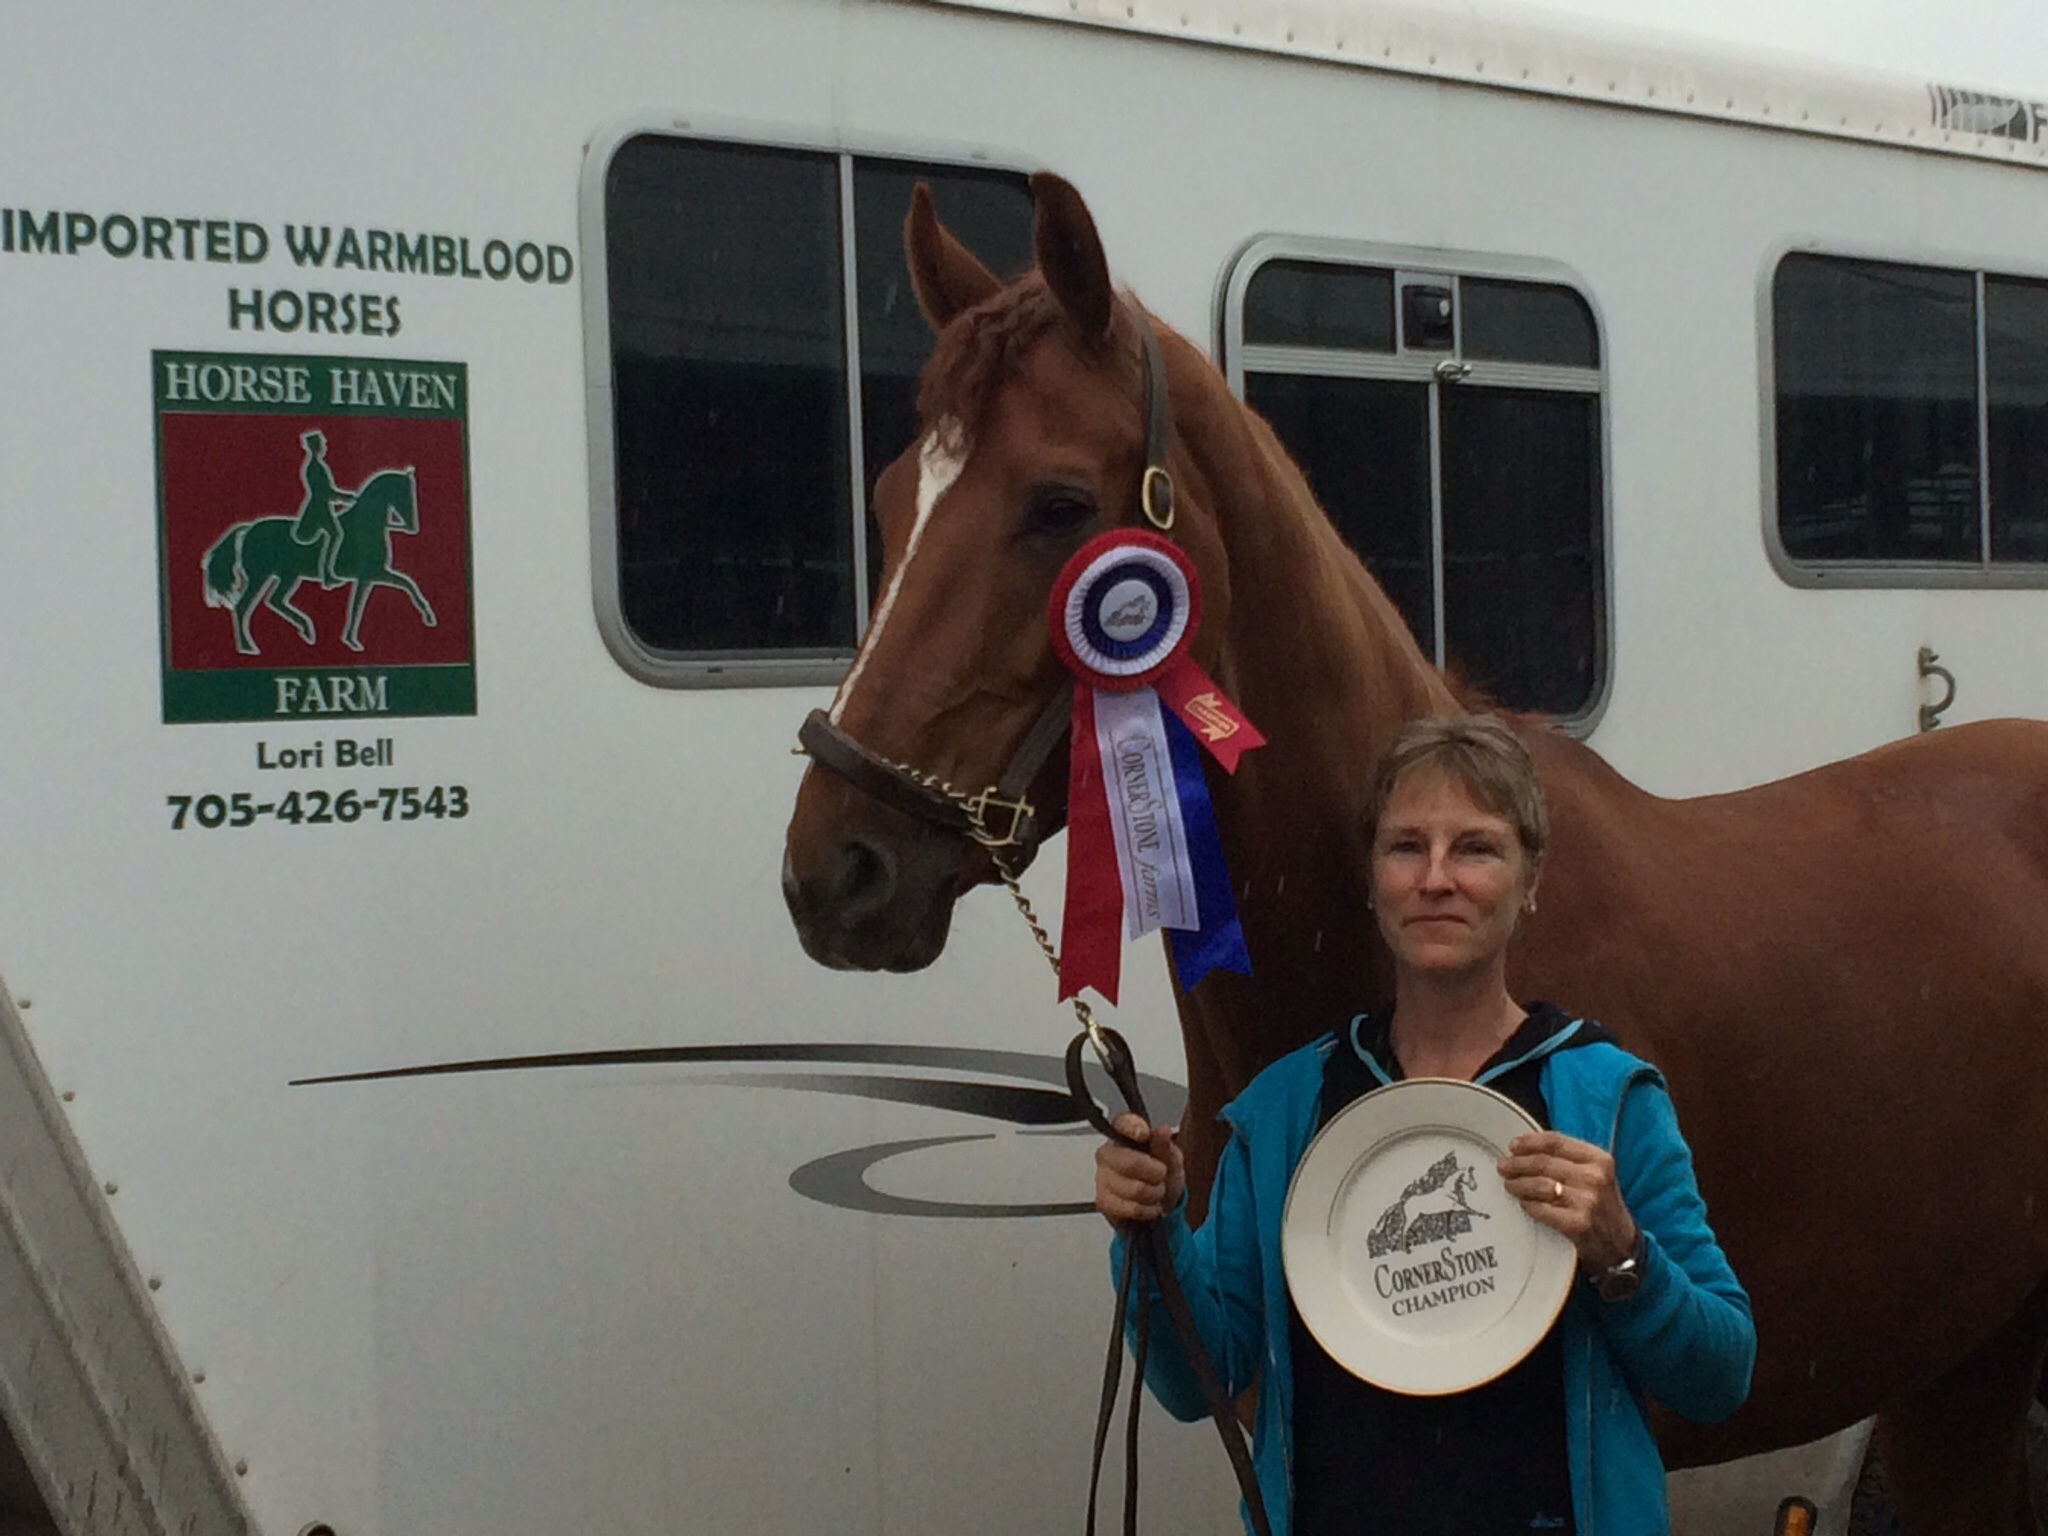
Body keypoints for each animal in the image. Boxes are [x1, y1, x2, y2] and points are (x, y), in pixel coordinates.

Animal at [201, 466, 437, 653]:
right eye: (405, 493)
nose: (412, 527)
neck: (365, 526)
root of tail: (248, 528)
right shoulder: (370, 574)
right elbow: (365, 603)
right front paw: (352, 641)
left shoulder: (371, 576)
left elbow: (402, 586)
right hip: (261, 576)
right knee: (243, 607)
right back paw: (250, 647)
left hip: (288, 576)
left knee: (274, 601)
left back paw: (304, 630)